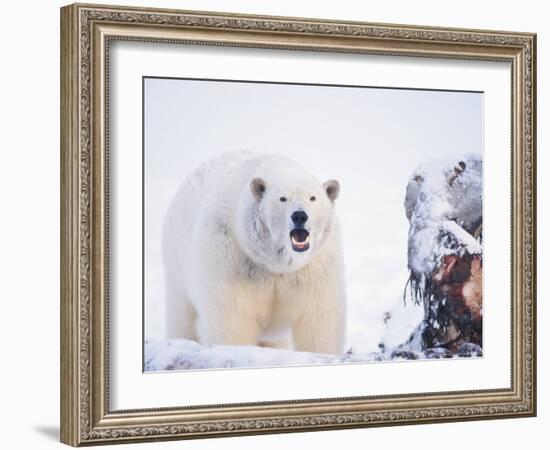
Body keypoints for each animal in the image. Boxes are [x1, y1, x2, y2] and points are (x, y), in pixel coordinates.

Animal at [162, 151, 348, 356]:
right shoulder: (230, 257)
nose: (299, 215)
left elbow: (319, 320)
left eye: (312, 198)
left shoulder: (314, 269)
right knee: (183, 318)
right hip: (177, 267)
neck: (274, 264)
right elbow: (232, 319)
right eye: (282, 198)